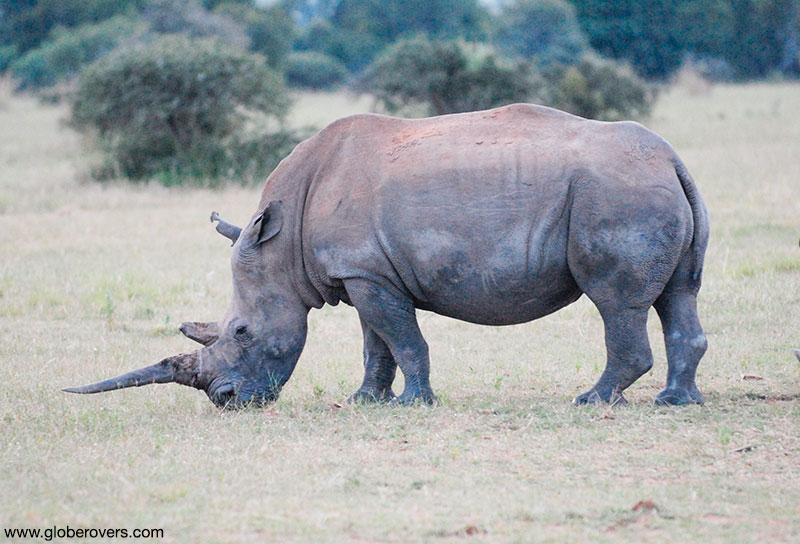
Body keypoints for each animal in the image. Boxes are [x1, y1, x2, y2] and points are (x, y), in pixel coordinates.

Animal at [65, 104, 709, 408]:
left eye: (242, 331)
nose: (226, 402)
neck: (284, 241)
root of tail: (672, 158)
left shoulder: (367, 273)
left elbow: (402, 338)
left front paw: (412, 404)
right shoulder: (361, 273)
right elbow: (376, 343)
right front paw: (365, 402)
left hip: (616, 194)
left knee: (616, 303)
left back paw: (590, 401)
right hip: (647, 186)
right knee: (678, 294)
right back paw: (675, 403)